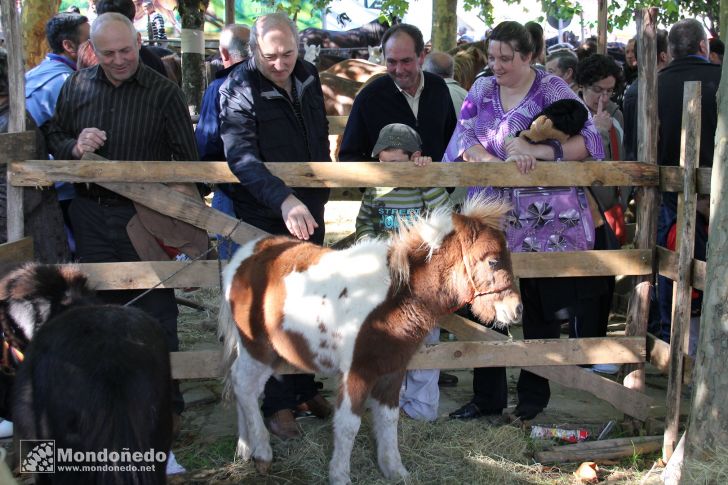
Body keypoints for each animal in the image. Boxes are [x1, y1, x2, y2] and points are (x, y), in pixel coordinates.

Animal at [218, 195, 524, 482]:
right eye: (492, 260)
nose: (516, 309)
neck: (392, 299)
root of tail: (244, 256)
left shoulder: (392, 371)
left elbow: (389, 419)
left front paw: (395, 470)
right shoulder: (357, 373)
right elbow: (348, 425)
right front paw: (340, 475)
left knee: (242, 384)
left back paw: (245, 448)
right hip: (257, 348)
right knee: (244, 385)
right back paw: (261, 453)